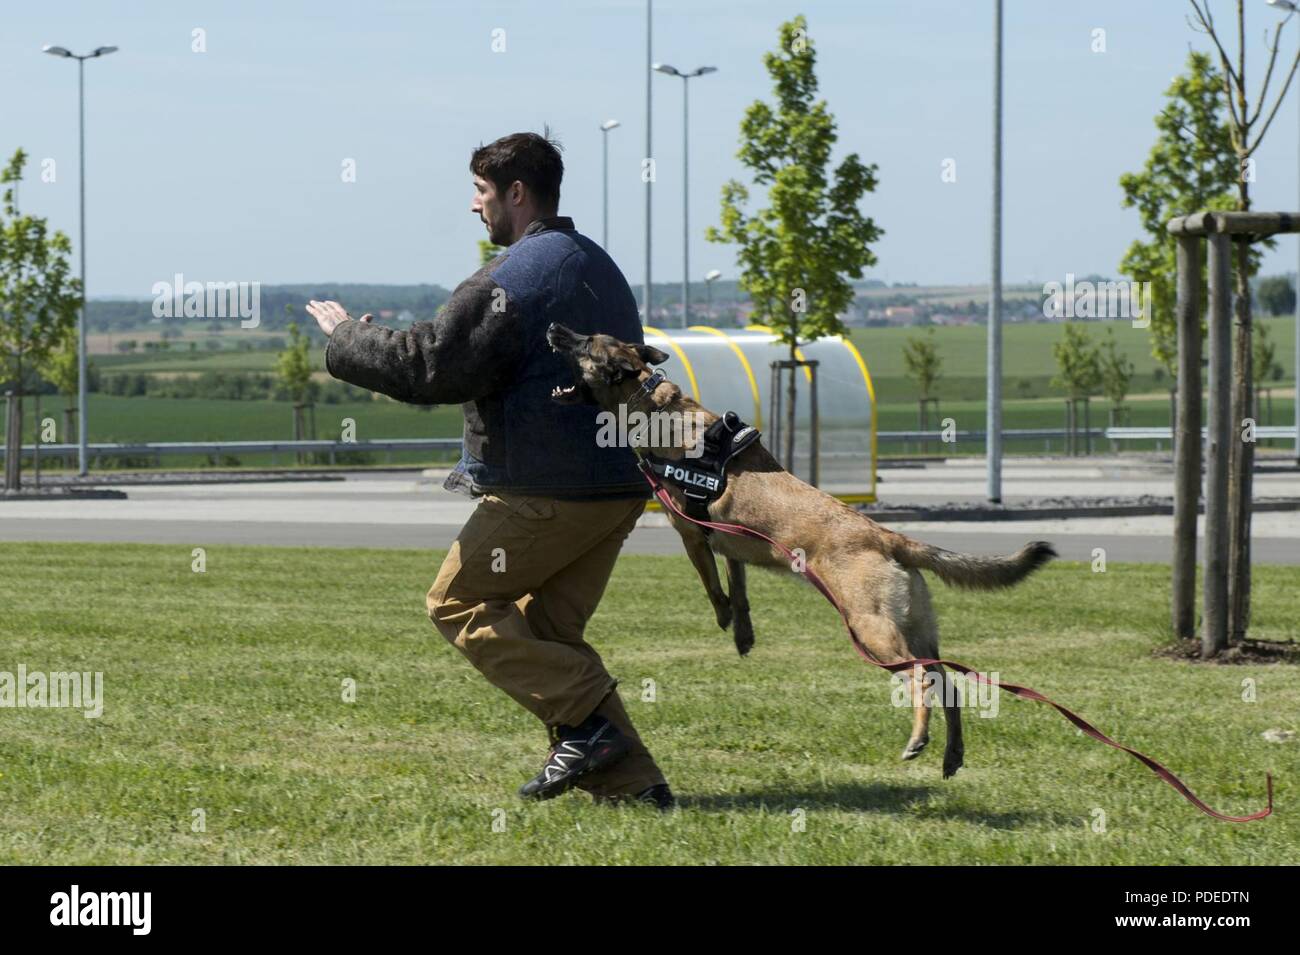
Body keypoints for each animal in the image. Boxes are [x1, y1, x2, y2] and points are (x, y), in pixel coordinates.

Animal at [546, 320, 1055, 779]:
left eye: (585, 342)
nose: (552, 326)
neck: (649, 402)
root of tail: (888, 537)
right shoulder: (731, 546)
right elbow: (740, 591)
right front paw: (743, 635)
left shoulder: (689, 531)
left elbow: (713, 586)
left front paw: (723, 617)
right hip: (916, 629)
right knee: (947, 683)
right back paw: (952, 754)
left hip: (871, 629)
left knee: (922, 680)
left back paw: (918, 739)